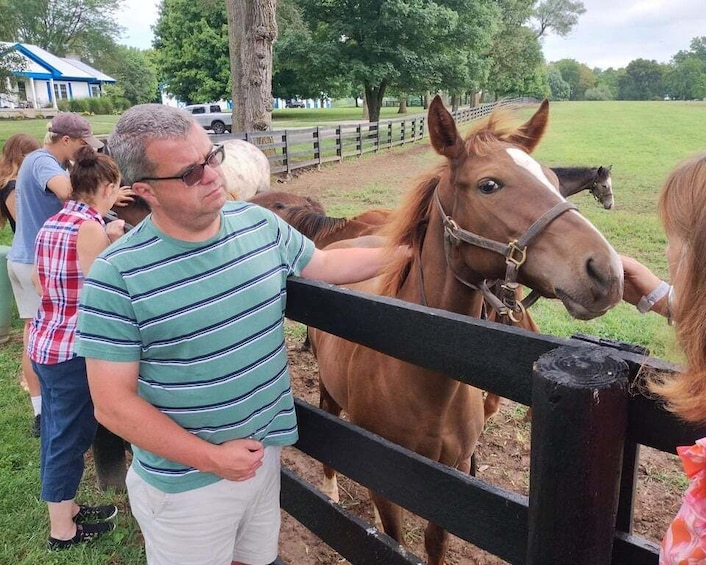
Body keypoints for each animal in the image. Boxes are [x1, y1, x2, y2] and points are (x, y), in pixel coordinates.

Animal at [306, 97, 620, 564]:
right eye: (489, 185)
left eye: (552, 180)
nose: (606, 271)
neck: (423, 383)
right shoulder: (386, 479)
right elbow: (394, 539)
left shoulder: (452, 477)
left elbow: (435, 543)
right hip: (328, 388)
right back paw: (329, 490)